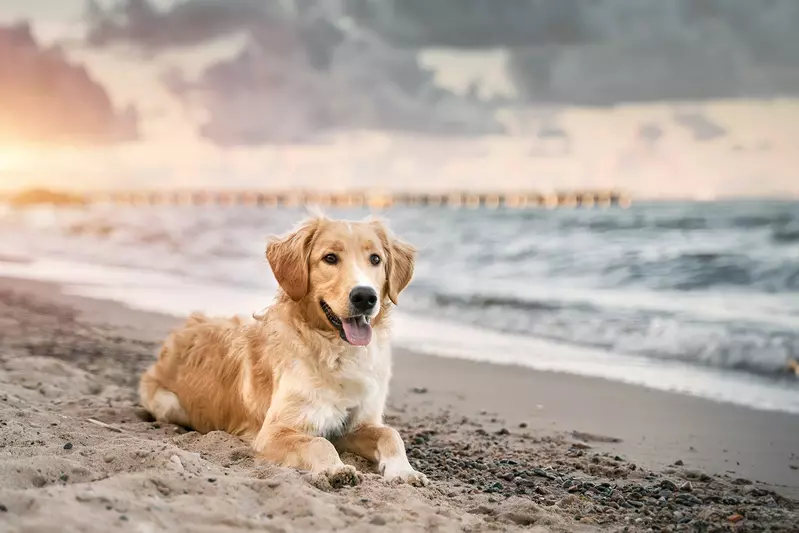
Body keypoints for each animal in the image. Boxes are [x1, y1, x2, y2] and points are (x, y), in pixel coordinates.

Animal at [138, 215, 428, 486]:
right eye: (330, 258)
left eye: (375, 259)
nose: (365, 297)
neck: (336, 351)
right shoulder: (274, 432)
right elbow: (319, 443)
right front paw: (335, 470)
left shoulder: (354, 425)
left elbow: (390, 434)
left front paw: (404, 471)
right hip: (169, 405)